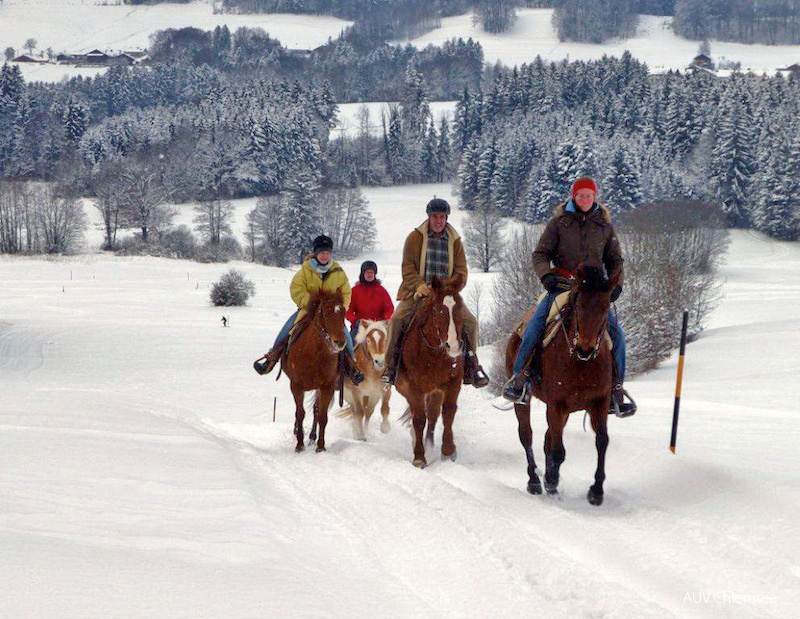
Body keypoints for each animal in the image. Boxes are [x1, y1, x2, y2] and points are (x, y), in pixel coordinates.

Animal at [282, 288, 346, 452]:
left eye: (343, 312)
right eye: (325, 312)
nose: (340, 342)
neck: (314, 353)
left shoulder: (327, 387)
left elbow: (322, 415)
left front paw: (321, 447)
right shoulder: (296, 386)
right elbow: (300, 414)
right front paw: (299, 445)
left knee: (316, 410)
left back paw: (312, 436)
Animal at [396, 274, 466, 468]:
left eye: (460, 308)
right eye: (438, 310)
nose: (454, 346)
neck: (434, 352)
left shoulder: (453, 382)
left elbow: (448, 412)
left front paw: (448, 450)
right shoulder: (415, 388)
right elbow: (419, 419)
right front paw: (419, 457)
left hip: (435, 392)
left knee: (433, 416)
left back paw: (429, 444)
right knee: (418, 416)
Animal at [504, 266, 620, 504]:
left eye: (605, 307)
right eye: (579, 304)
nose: (585, 347)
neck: (580, 363)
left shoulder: (599, 404)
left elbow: (602, 441)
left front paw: (596, 491)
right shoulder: (556, 405)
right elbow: (558, 451)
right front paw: (551, 480)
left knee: (547, 438)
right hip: (524, 401)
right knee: (527, 435)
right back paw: (535, 481)